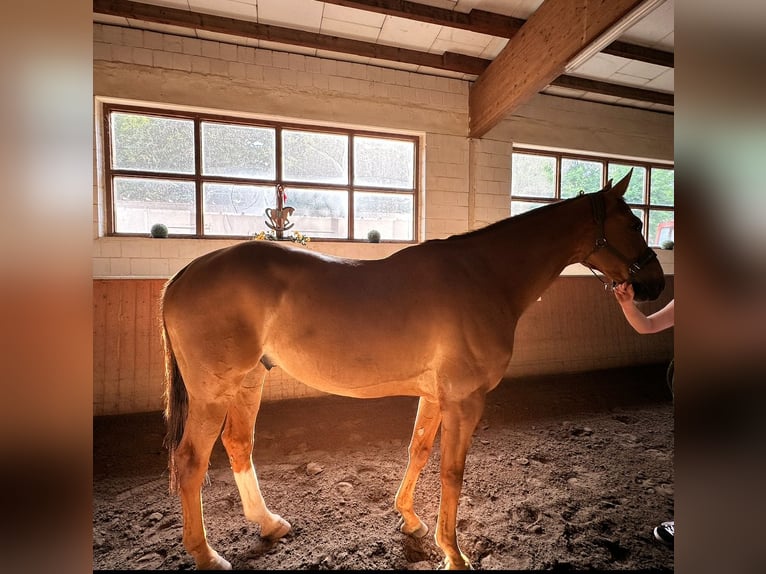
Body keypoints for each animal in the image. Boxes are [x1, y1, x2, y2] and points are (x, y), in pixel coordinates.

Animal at [160, 172, 664, 572]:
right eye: (633, 223)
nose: (653, 284)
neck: (484, 277)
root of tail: (185, 273)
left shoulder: (437, 394)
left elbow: (418, 450)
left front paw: (411, 518)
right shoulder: (464, 399)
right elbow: (452, 471)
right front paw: (454, 554)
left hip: (249, 380)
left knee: (237, 444)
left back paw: (268, 524)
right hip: (214, 392)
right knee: (190, 462)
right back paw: (207, 555)